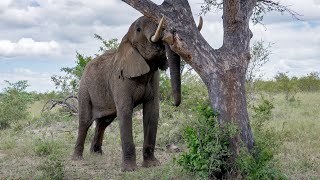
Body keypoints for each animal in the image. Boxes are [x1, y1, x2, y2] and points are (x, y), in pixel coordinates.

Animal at [72, 15, 182, 172]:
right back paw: (77, 159)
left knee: (103, 122)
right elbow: (125, 111)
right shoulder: (119, 79)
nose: (174, 104)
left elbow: (152, 111)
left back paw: (96, 154)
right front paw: (129, 170)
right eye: (139, 29)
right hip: (84, 89)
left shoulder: (154, 77)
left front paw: (152, 165)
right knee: (85, 121)